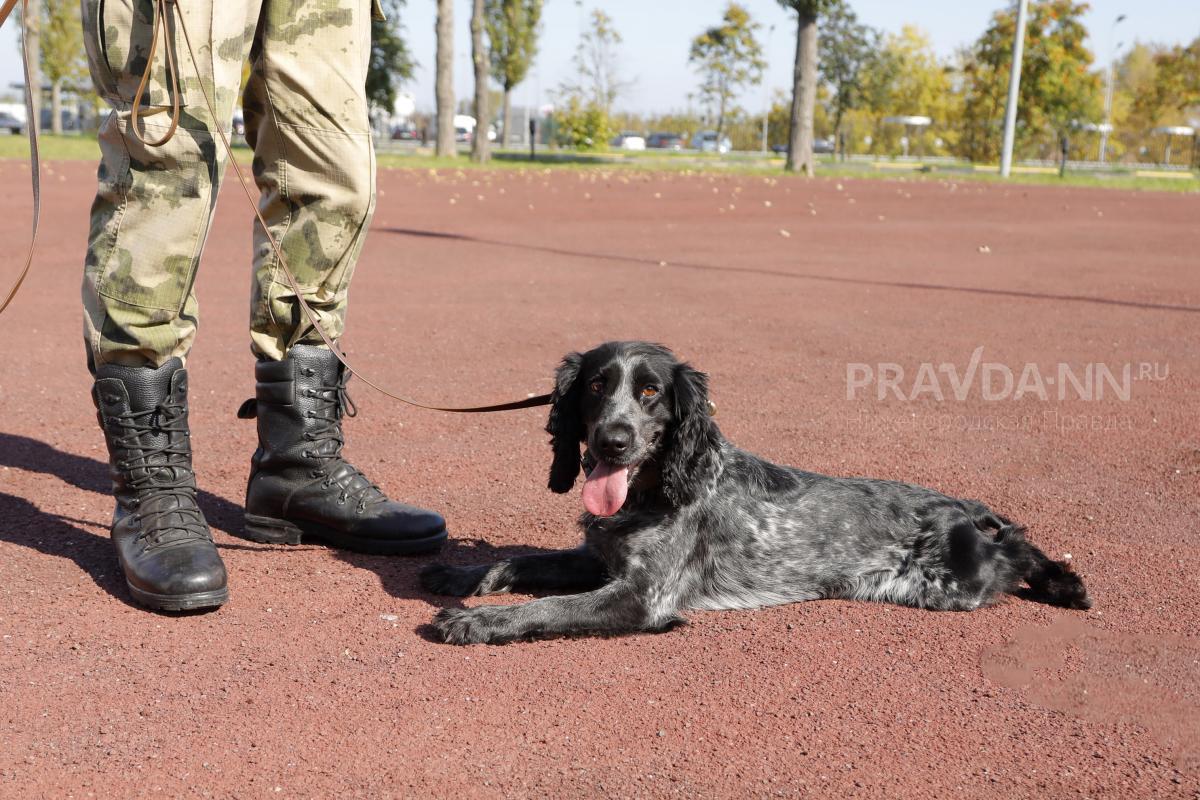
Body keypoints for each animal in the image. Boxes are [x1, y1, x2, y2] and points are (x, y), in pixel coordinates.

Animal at [420, 340, 1089, 647]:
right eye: (594, 386)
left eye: (650, 392)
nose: (612, 440)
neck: (658, 489)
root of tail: (966, 509)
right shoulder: (598, 560)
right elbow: (519, 561)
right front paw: (460, 577)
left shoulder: (640, 597)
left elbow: (548, 607)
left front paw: (477, 622)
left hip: (954, 584)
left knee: (1020, 550)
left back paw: (1065, 584)